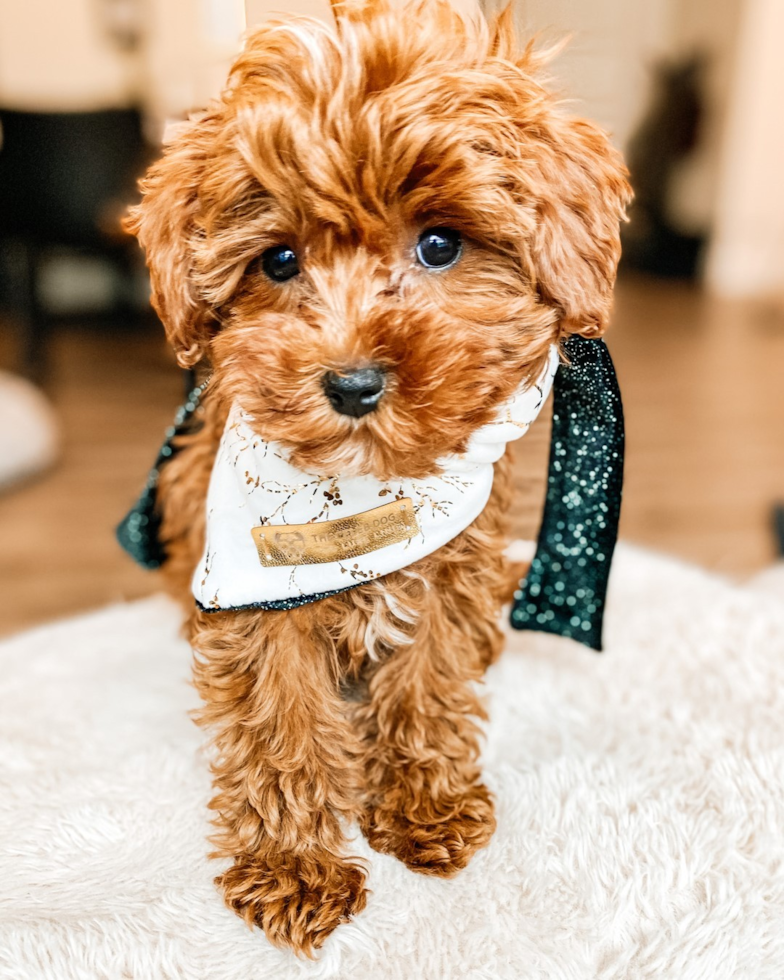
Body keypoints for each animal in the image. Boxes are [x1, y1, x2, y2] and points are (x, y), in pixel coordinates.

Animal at [129, 0, 632, 952]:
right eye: (279, 261)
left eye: (440, 245)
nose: (353, 384)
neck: (359, 496)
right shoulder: (255, 586)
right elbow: (279, 720)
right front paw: (293, 869)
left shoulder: (451, 564)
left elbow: (428, 681)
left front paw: (426, 804)